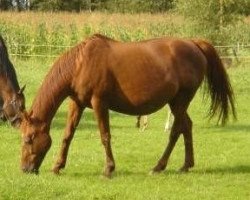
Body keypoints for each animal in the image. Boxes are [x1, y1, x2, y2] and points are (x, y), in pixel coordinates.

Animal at [20, 34, 236, 177]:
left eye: (29, 139)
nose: (25, 169)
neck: (81, 63)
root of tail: (194, 43)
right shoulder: (77, 103)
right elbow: (67, 135)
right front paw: (57, 166)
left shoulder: (99, 103)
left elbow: (105, 136)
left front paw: (108, 168)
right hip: (176, 102)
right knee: (185, 127)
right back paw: (184, 165)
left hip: (180, 101)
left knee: (178, 129)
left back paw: (160, 166)